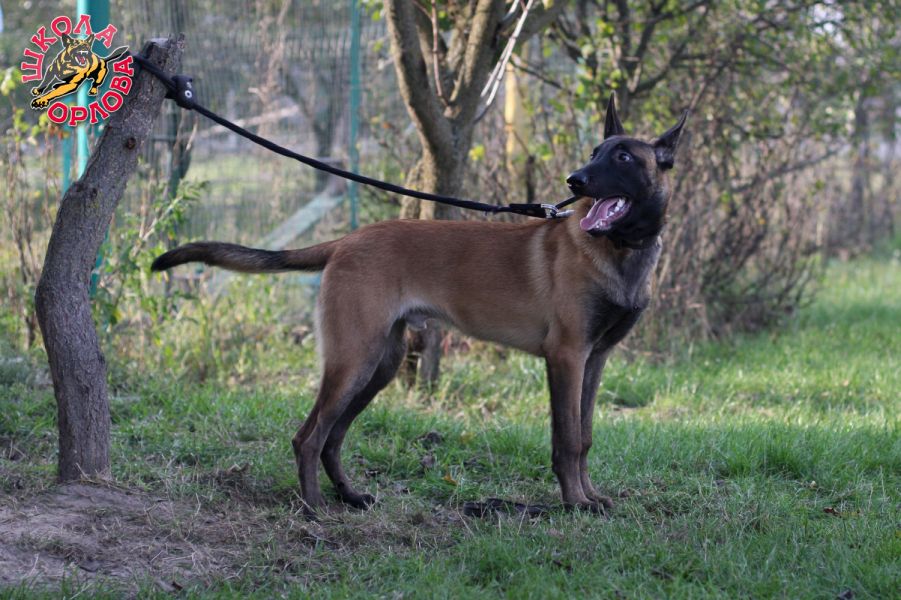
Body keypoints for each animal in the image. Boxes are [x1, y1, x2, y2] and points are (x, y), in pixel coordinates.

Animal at [152, 95, 687, 514]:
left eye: (622, 157)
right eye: (595, 154)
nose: (576, 180)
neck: (620, 250)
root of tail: (346, 240)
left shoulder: (594, 360)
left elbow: (587, 434)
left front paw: (590, 496)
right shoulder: (566, 357)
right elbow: (568, 438)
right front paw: (574, 503)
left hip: (379, 364)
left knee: (333, 437)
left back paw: (349, 497)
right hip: (355, 358)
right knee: (310, 435)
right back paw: (314, 507)